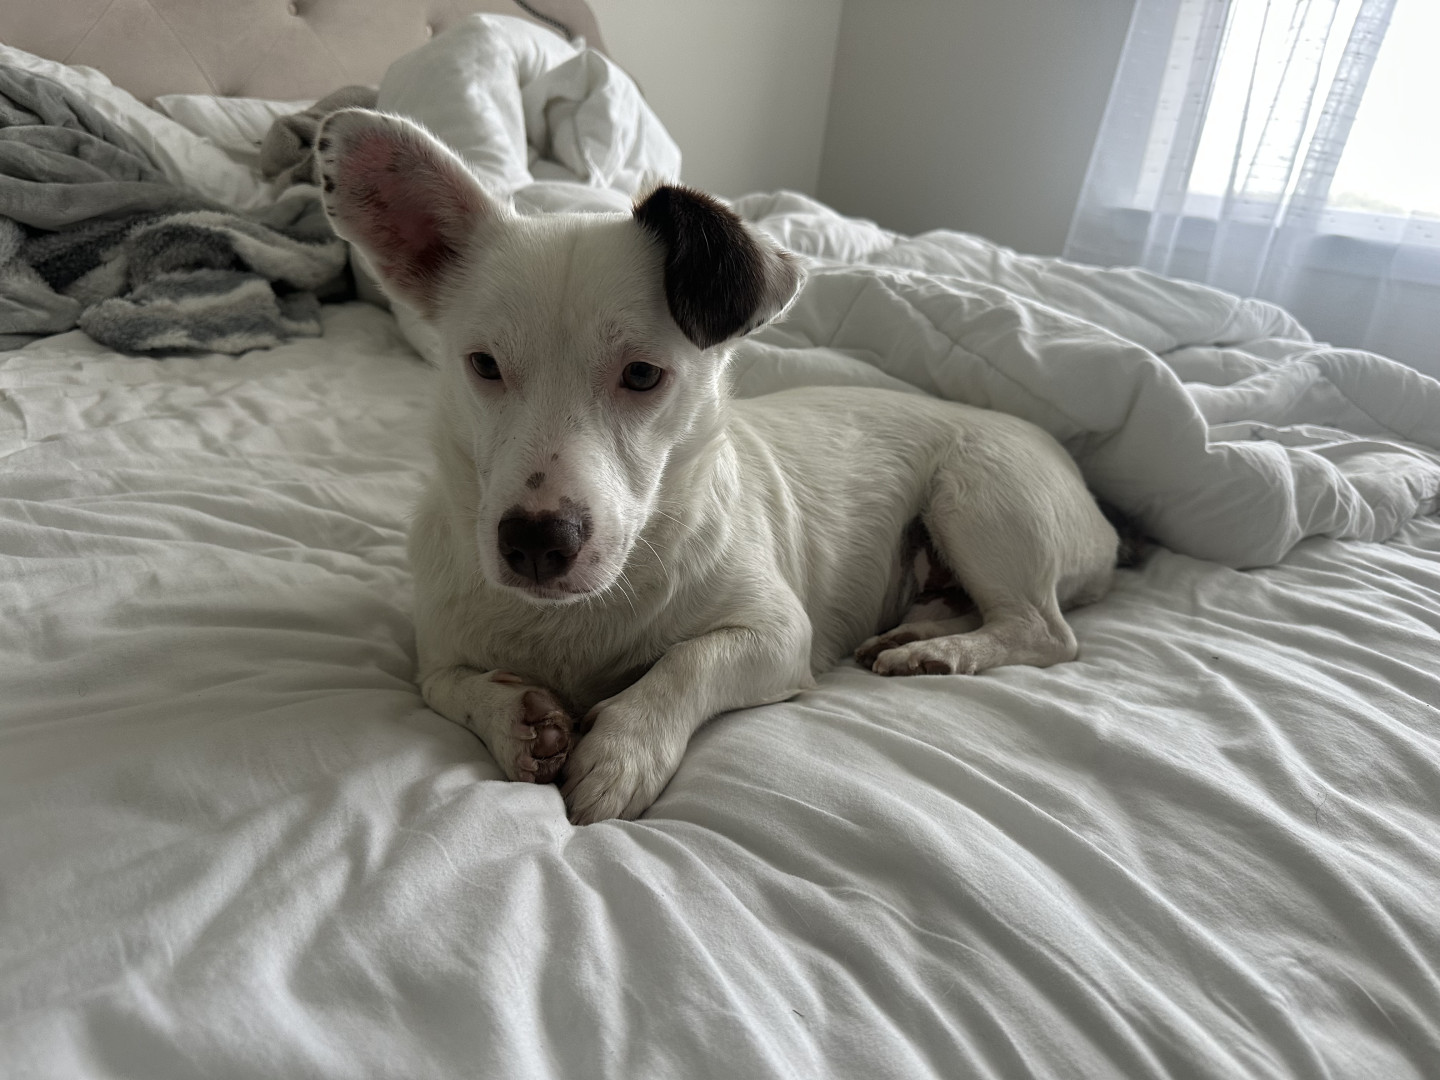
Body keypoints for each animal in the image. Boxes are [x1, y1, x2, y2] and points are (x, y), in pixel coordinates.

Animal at [315, 109, 1121, 825]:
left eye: (643, 375)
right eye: (483, 365)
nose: (536, 542)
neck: (582, 614)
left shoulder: (777, 634)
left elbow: (686, 663)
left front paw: (626, 749)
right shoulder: (435, 653)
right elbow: (450, 687)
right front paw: (515, 718)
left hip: (977, 502)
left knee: (1044, 631)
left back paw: (942, 653)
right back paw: (918, 635)